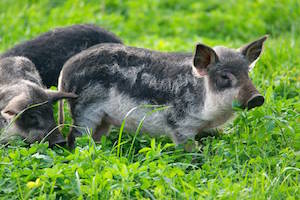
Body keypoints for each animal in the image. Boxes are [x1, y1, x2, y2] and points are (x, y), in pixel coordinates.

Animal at [58, 36, 268, 148]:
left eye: (247, 73)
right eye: (225, 76)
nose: (257, 98)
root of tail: (66, 69)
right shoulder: (180, 125)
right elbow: (190, 150)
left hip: (104, 120)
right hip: (84, 111)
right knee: (74, 137)